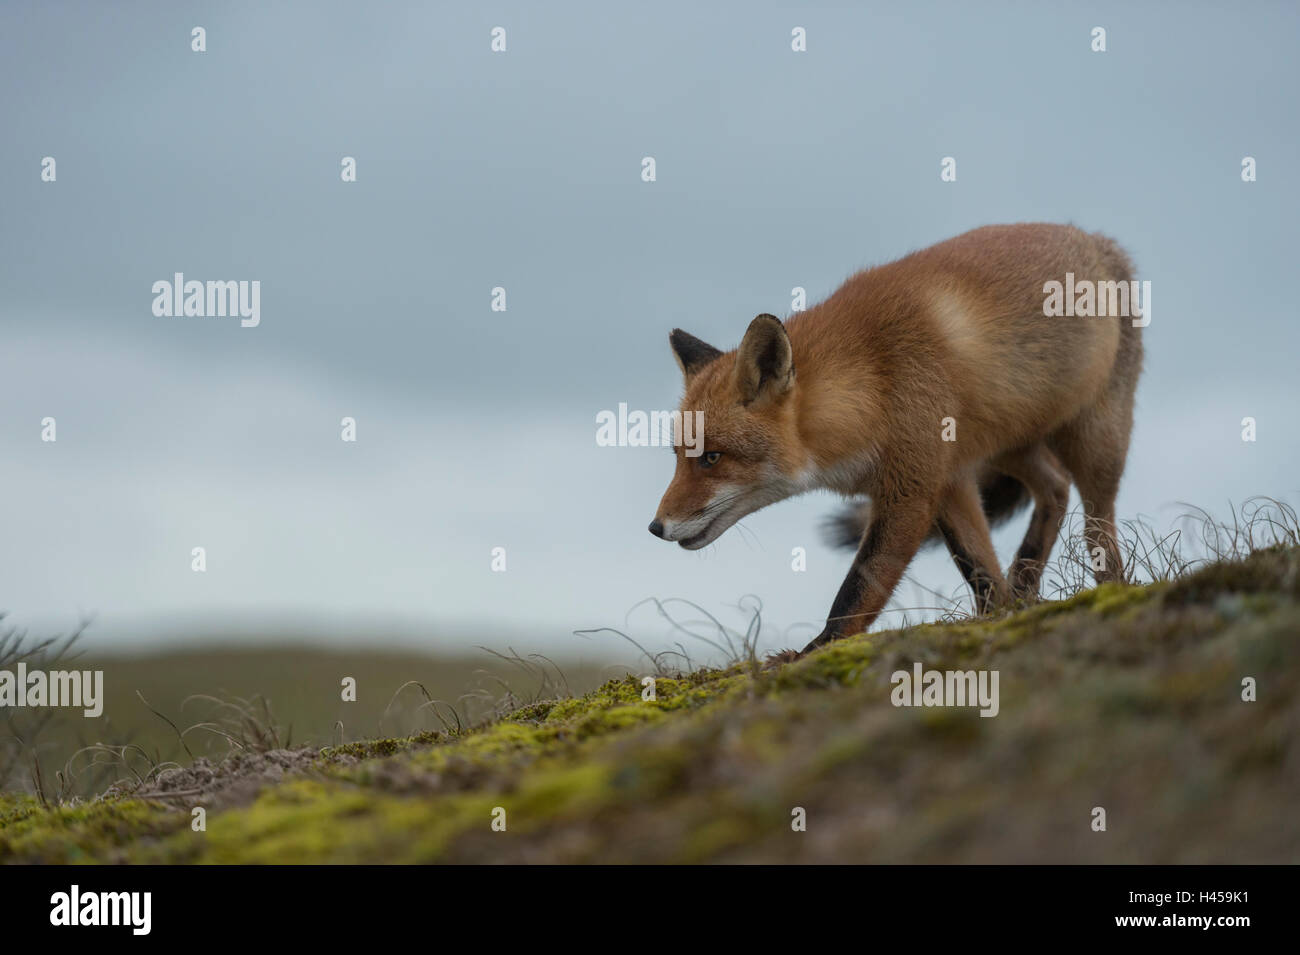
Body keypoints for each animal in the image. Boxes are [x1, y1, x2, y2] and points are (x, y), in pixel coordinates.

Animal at [647, 223, 1138, 657]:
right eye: (678, 456)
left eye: (712, 457)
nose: (656, 527)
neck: (872, 384)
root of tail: (1097, 239)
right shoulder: (949, 477)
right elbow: (978, 567)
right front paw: (996, 616)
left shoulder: (912, 490)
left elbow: (860, 586)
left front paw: (814, 651)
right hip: (1007, 443)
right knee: (1054, 486)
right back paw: (1025, 584)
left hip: (1097, 437)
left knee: (1097, 525)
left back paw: (1112, 588)